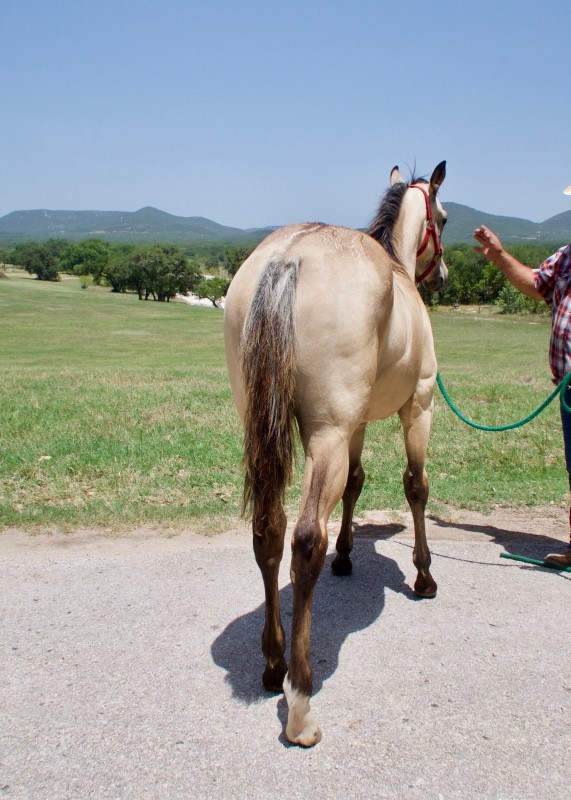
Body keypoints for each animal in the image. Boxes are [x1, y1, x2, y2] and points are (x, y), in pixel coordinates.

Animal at [225, 159, 452, 748]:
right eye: (443, 216)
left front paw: (349, 556)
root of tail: (289, 256)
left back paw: (273, 664)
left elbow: (355, 483)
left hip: (272, 430)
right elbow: (415, 487)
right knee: (305, 541)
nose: (442, 275)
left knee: (269, 533)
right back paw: (300, 699)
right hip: (326, 434)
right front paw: (423, 576)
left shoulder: (357, 425)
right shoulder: (418, 406)